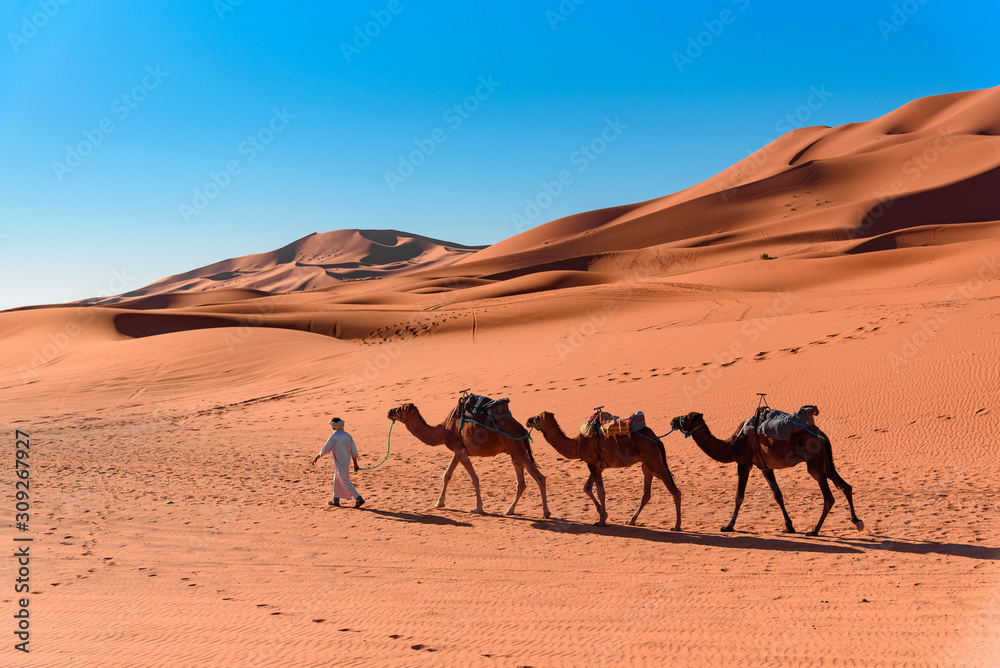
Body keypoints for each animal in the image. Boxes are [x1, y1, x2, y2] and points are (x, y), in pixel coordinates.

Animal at [386, 402, 550, 518]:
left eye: (400, 409)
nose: (389, 412)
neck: (443, 429)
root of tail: (521, 428)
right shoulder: (458, 450)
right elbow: (447, 475)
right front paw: (439, 503)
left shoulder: (459, 450)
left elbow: (474, 478)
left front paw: (478, 508)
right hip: (514, 451)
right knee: (521, 483)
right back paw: (509, 511)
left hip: (516, 447)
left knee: (539, 477)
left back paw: (545, 513)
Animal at [526, 411, 681, 529]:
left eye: (538, 417)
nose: (528, 420)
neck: (577, 444)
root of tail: (656, 439)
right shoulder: (597, 466)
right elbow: (587, 488)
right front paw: (603, 514)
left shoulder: (592, 463)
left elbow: (600, 491)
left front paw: (601, 520)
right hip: (647, 465)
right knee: (646, 493)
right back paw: (631, 520)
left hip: (654, 461)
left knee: (675, 491)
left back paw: (676, 526)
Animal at [669, 411, 863, 536]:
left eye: (685, 417)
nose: (672, 420)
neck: (730, 445)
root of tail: (823, 436)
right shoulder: (765, 467)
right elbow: (778, 495)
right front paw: (789, 526)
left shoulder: (744, 464)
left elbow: (739, 496)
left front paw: (728, 526)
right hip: (826, 463)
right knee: (846, 486)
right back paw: (856, 521)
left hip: (815, 464)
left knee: (829, 497)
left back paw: (814, 531)